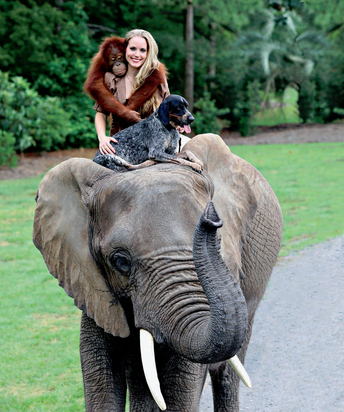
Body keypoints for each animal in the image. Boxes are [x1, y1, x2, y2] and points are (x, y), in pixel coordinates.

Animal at [33, 134, 284, 410]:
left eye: (219, 244)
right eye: (120, 261)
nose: (211, 217)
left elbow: (179, 389)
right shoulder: (91, 283)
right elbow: (102, 380)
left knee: (227, 371)